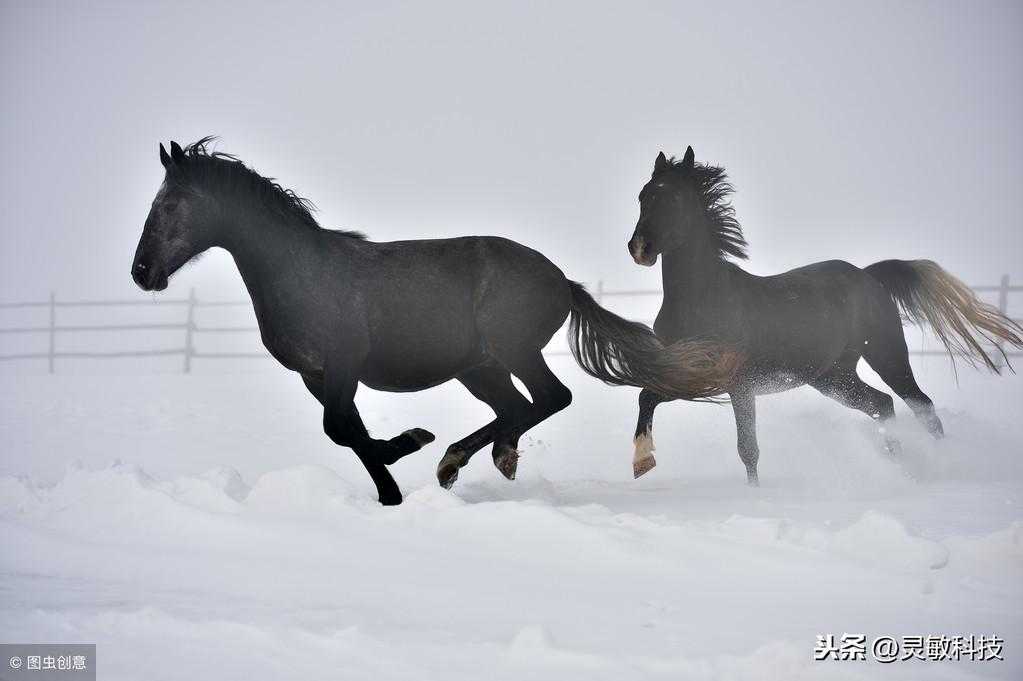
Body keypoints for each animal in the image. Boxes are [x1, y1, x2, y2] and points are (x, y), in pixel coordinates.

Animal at [131, 138, 736, 501]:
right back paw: (477, 457)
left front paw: (409, 447)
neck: (302, 273)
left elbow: (341, 429)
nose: (142, 273)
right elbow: (346, 431)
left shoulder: (343, 363)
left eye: (170, 205)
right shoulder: (315, 376)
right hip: (479, 368)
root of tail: (562, 282)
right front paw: (392, 488)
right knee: (516, 407)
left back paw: (465, 457)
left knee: (549, 398)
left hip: (513, 350)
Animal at [621, 146, 1023, 480]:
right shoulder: (687, 376)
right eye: (642, 195)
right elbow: (645, 397)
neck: (701, 298)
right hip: (834, 378)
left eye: (673, 197)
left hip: (887, 356)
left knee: (921, 406)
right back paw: (899, 466)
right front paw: (642, 461)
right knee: (882, 405)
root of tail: (869, 276)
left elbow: (748, 449)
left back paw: (942, 466)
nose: (639, 248)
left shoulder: (738, 384)